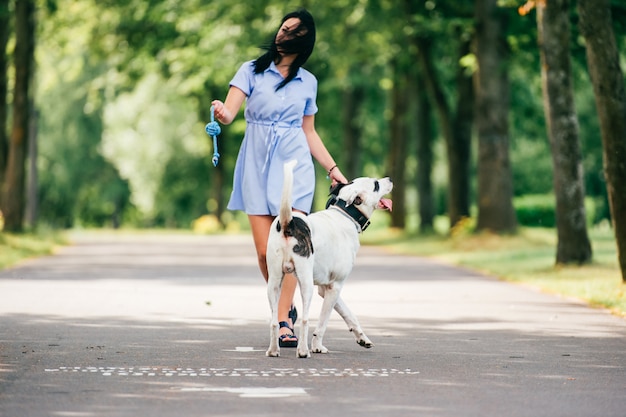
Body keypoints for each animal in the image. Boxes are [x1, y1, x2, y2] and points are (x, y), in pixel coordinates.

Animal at [266, 160, 392, 358]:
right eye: (376, 185)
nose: (390, 179)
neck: (346, 215)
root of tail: (289, 223)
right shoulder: (334, 287)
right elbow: (323, 323)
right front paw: (317, 346)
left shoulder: (328, 288)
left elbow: (349, 314)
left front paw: (362, 338)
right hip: (305, 284)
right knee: (304, 319)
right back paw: (303, 351)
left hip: (274, 283)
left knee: (273, 321)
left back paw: (273, 350)